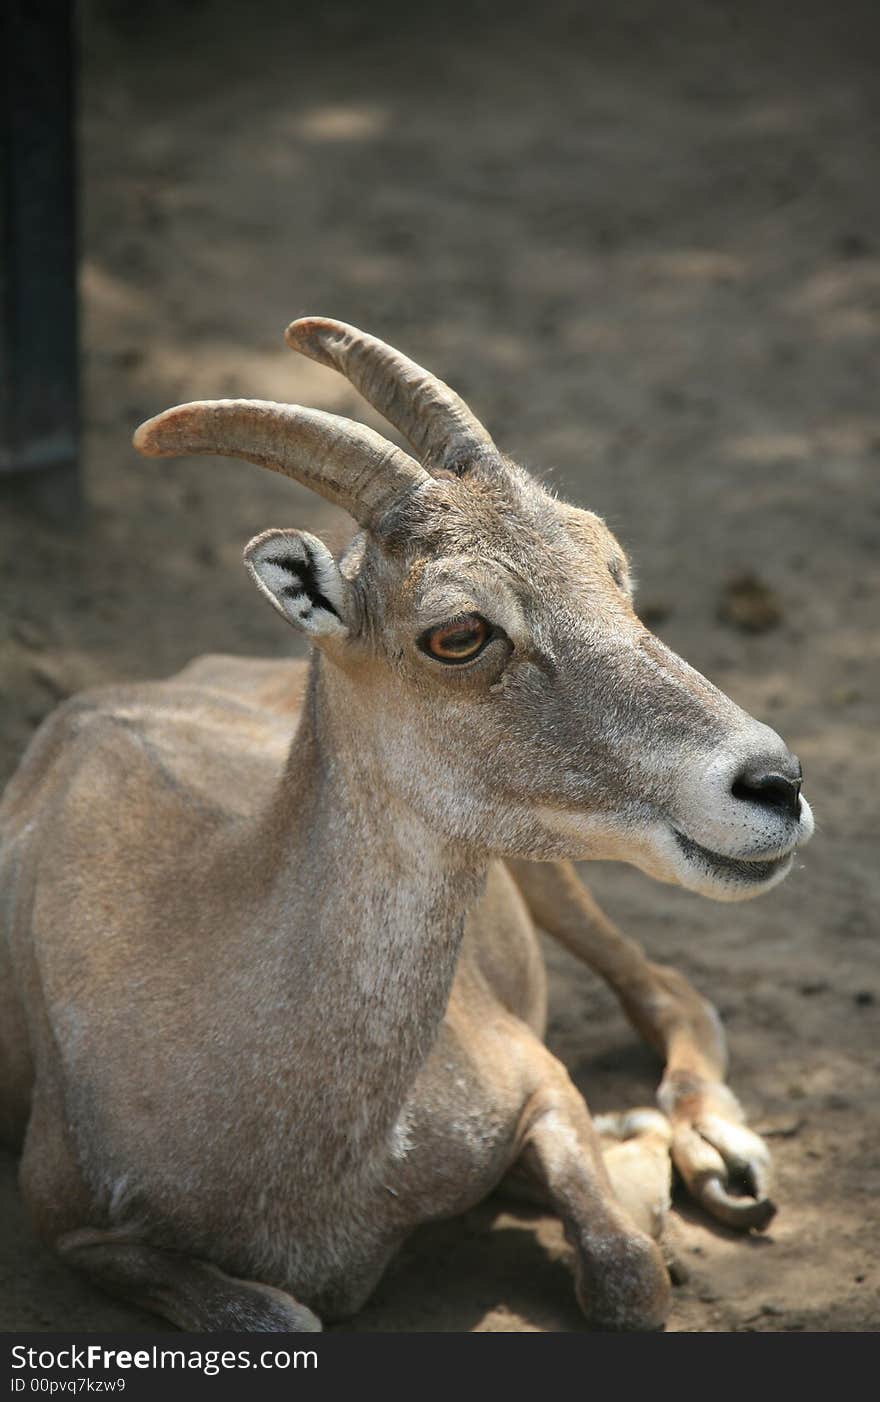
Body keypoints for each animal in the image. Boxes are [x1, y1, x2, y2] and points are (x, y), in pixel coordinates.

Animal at [0, 315, 812, 1323]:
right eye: (458, 633)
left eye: (610, 567)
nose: (772, 782)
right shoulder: (73, 1224)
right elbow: (278, 1313)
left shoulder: (534, 1078)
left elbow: (629, 1273)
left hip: (545, 872)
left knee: (664, 984)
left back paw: (720, 1154)